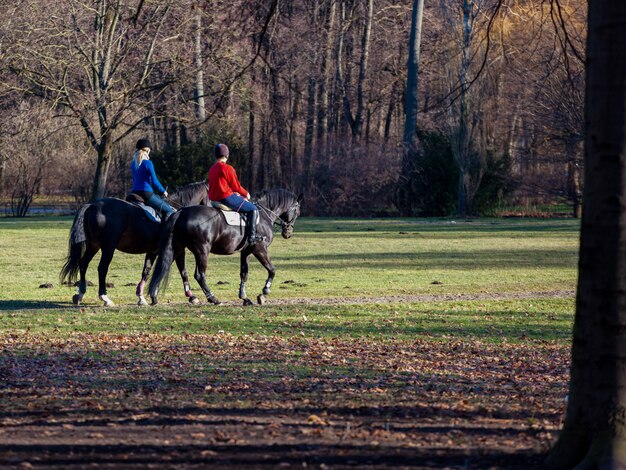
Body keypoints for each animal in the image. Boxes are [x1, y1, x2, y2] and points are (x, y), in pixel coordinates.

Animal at [59, 182, 208, 306]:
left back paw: (80, 294)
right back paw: (105, 297)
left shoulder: (153, 250)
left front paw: (142, 297)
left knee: (83, 264)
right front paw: (191, 296)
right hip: (108, 247)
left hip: (93, 245)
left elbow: (147, 271)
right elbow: (182, 271)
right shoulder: (177, 250)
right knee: (102, 268)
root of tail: (91, 205)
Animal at [147, 189, 302, 306]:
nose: (288, 233)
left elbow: (244, 273)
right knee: (199, 275)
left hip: (177, 248)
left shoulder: (246, 251)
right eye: (297, 212)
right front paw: (264, 293)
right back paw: (213, 298)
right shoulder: (259, 249)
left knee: (165, 267)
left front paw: (244, 297)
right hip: (202, 250)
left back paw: (154, 295)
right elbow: (272, 270)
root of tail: (181, 212)